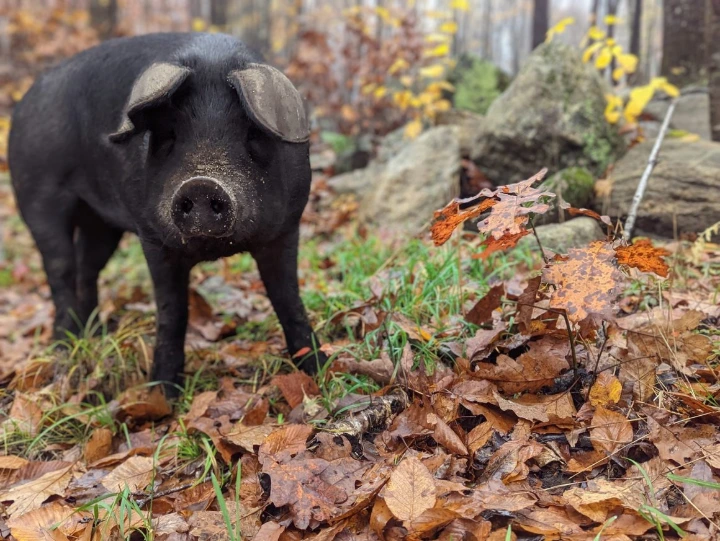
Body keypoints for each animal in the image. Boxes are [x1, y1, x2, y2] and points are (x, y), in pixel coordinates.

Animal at [8, 32, 326, 395]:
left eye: (251, 135)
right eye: (170, 134)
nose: (201, 184)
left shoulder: (287, 227)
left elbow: (288, 300)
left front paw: (319, 371)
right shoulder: (153, 238)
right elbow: (173, 313)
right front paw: (161, 394)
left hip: (100, 224)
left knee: (87, 269)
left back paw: (96, 335)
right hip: (37, 197)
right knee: (60, 270)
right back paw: (64, 347)